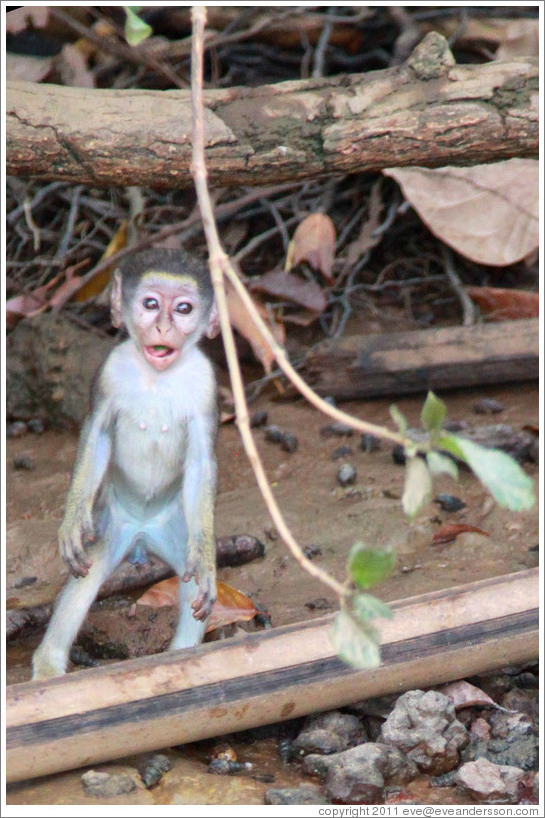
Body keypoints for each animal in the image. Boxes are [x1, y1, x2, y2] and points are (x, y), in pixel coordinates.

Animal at [31, 247, 219, 676]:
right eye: (150, 304)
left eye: (183, 308)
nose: (164, 328)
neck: (157, 378)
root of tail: (143, 535)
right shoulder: (110, 371)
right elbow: (97, 434)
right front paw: (71, 520)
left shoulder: (206, 384)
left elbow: (201, 464)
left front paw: (206, 561)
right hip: (112, 524)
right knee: (84, 581)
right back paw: (48, 667)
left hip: (174, 528)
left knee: (187, 584)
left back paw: (183, 654)